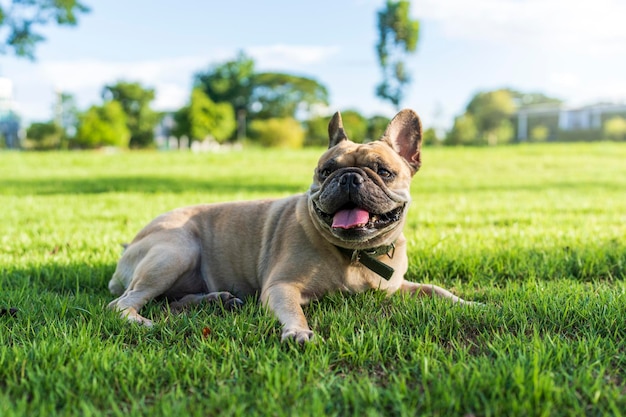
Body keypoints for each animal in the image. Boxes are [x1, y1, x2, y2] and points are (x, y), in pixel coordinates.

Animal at [107, 109, 468, 342]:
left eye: (383, 171)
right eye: (325, 171)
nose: (349, 177)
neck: (354, 255)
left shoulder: (397, 286)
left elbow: (436, 290)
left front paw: (471, 304)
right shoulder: (282, 287)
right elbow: (295, 311)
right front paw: (297, 331)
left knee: (169, 301)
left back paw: (216, 300)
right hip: (176, 250)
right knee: (122, 303)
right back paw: (142, 322)